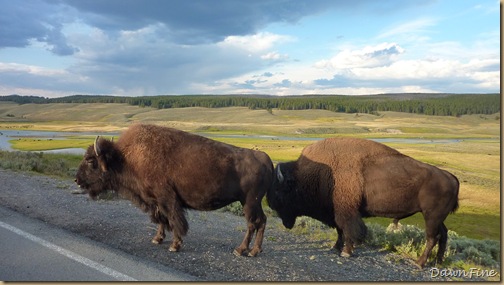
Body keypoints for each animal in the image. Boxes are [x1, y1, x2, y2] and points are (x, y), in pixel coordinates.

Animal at [75, 123, 272, 256]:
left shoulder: (167, 198)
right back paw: (254, 250)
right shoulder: (155, 200)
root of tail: (265, 159)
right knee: (261, 221)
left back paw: (241, 250)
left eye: (91, 161)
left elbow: (174, 220)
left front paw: (174, 245)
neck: (125, 158)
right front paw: (157, 239)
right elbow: (162, 219)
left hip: (249, 203)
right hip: (253, 203)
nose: (77, 180)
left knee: (252, 223)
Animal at [268, 137, 460, 266]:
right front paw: (335, 248)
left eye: (278, 191)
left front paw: (346, 252)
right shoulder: (338, 211)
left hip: (431, 216)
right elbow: (340, 230)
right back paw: (438, 261)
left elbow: (348, 230)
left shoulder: (346, 212)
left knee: (432, 237)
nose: (270, 205)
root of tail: (451, 177)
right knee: (444, 235)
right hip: (438, 218)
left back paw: (420, 263)